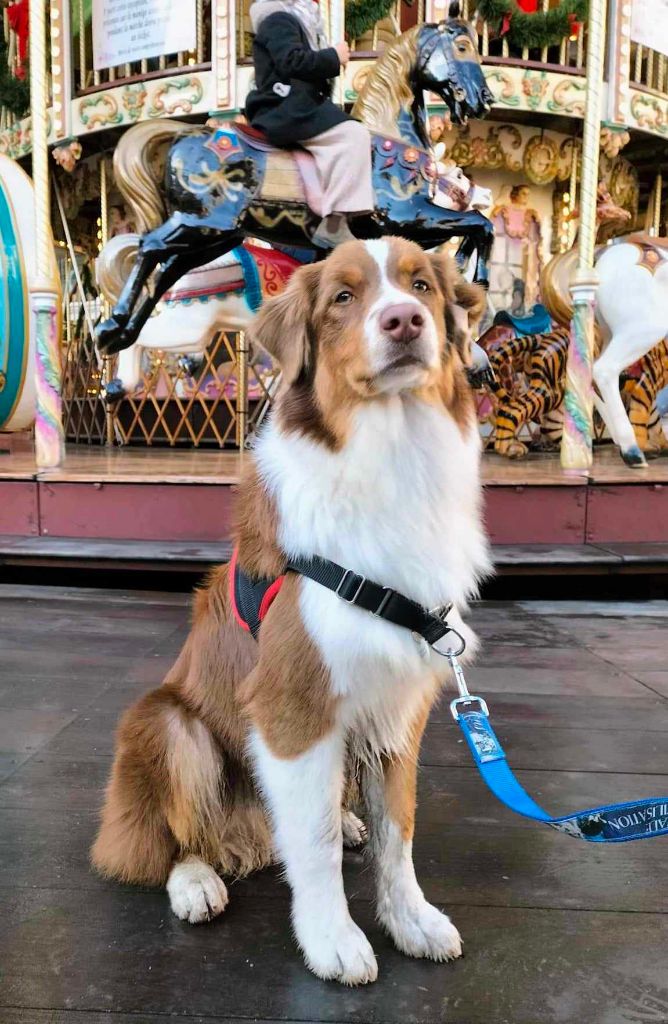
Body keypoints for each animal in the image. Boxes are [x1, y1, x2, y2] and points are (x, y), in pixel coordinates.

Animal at [91, 237, 489, 983]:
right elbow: (315, 838)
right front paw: (333, 939)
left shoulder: (400, 700)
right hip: (169, 725)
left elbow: (399, 830)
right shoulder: (293, 704)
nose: (404, 321)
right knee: (157, 843)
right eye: (343, 297)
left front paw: (411, 919)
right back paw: (196, 882)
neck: (389, 454)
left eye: (421, 285)